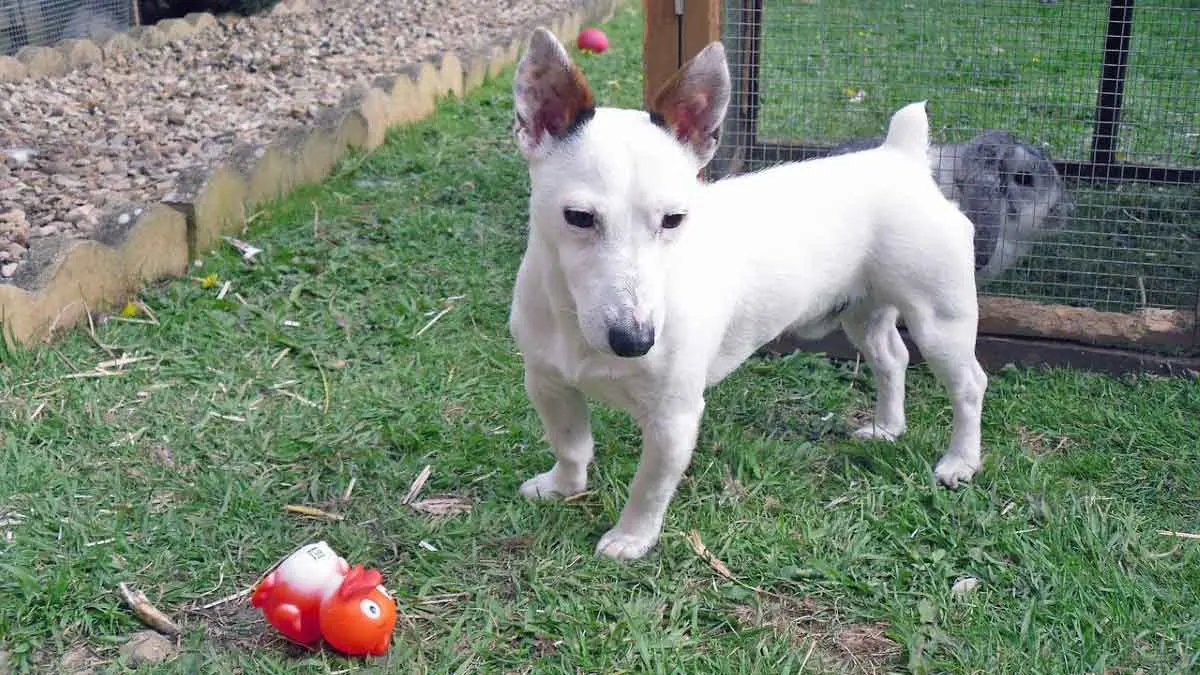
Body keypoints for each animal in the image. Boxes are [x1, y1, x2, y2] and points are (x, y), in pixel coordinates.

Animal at [506, 28, 984, 559]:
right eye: (579, 218)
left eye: (674, 219)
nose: (636, 341)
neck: (577, 323)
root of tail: (901, 157)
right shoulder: (548, 382)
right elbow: (570, 446)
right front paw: (563, 487)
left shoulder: (674, 418)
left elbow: (649, 486)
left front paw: (633, 536)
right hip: (863, 312)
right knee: (891, 359)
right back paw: (888, 426)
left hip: (940, 322)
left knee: (969, 386)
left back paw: (961, 460)